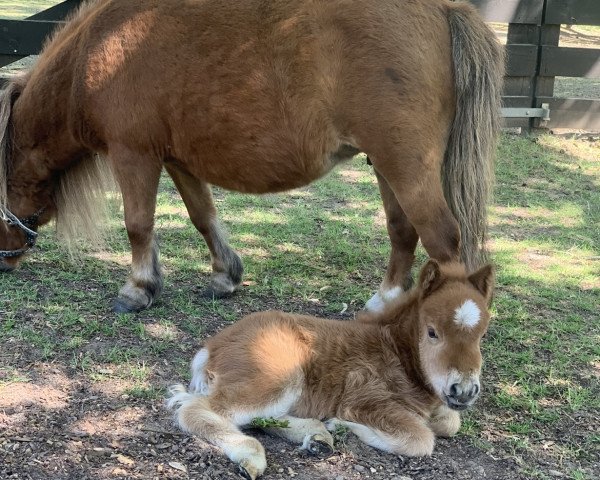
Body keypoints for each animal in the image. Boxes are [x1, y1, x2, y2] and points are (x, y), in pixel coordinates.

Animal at [0, 0, 504, 314]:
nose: (4, 260)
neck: (98, 53)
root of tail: (444, 10)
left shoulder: (134, 155)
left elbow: (138, 224)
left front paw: (139, 289)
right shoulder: (178, 161)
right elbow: (203, 216)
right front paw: (226, 275)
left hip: (407, 167)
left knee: (442, 238)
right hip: (386, 165)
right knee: (403, 231)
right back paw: (385, 303)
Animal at [168, 260, 492, 478]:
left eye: (481, 335)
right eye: (432, 332)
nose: (464, 391)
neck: (396, 353)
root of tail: (212, 346)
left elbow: (450, 422)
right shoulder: (367, 401)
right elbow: (421, 439)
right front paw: (341, 424)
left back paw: (317, 438)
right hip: (279, 377)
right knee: (197, 410)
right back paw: (253, 455)